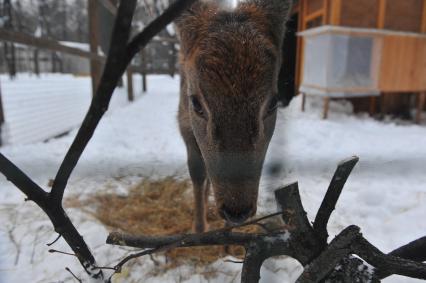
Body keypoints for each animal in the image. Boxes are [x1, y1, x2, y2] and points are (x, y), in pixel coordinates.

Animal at [175, 0, 292, 233]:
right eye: (196, 103)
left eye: (273, 103)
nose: (237, 210)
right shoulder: (183, 123)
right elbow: (197, 171)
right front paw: (199, 228)